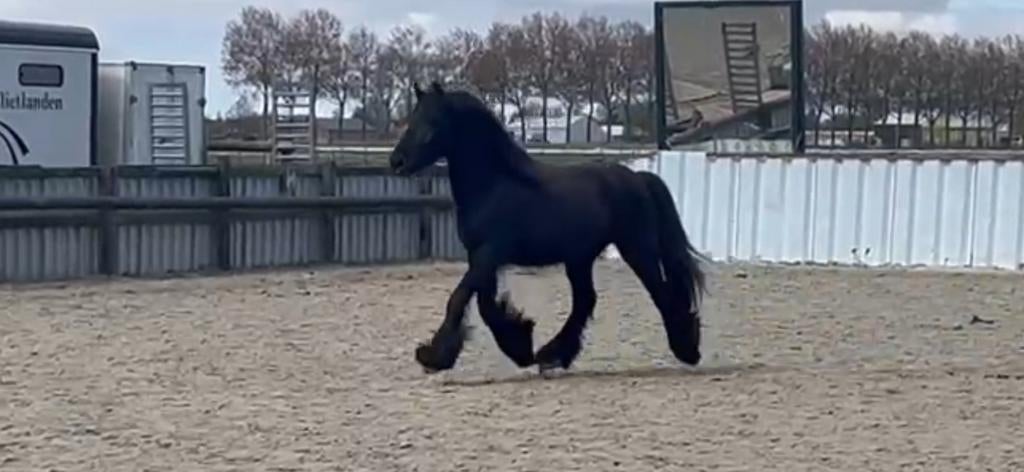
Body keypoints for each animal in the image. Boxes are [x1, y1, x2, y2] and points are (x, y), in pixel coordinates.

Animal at [389, 82, 708, 374]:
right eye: (411, 119)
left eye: (432, 123)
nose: (397, 162)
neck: (494, 186)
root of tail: (638, 177)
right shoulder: (479, 256)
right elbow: (484, 304)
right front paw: (519, 344)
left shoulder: (489, 253)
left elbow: (459, 298)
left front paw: (433, 356)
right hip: (580, 258)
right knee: (586, 300)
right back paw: (553, 355)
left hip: (636, 249)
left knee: (660, 291)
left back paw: (687, 349)